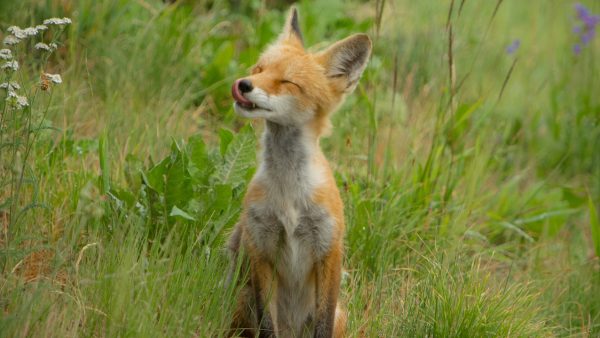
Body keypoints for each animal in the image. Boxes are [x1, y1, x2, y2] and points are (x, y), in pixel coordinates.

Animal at [229, 5, 372, 338]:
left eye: (287, 82)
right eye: (259, 69)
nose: (243, 84)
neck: (288, 195)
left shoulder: (328, 249)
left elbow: (322, 322)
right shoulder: (260, 247)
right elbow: (268, 326)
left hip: (340, 316)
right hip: (243, 300)